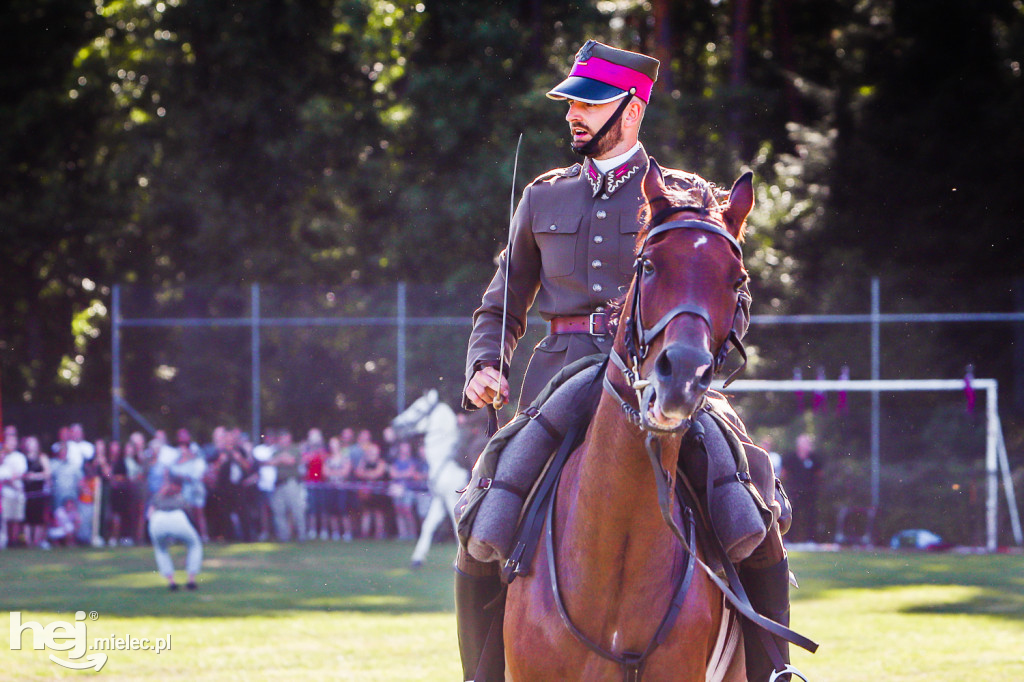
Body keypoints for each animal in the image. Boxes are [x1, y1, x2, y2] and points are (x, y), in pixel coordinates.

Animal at [389, 385, 468, 565]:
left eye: (418, 409)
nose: (395, 425)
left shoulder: (451, 498)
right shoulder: (440, 498)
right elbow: (428, 524)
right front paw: (417, 558)